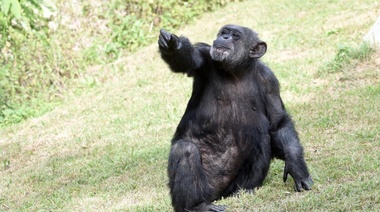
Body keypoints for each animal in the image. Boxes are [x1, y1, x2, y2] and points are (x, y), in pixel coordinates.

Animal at [157, 25, 312, 212]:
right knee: (185, 150)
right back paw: (197, 206)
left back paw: (246, 191)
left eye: (235, 36)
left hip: (232, 186)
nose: (224, 37)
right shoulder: (204, 55)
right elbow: (187, 60)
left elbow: (278, 123)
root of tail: (218, 195)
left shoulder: (269, 81)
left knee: (263, 139)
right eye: (224, 32)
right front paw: (174, 46)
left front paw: (297, 168)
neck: (236, 71)